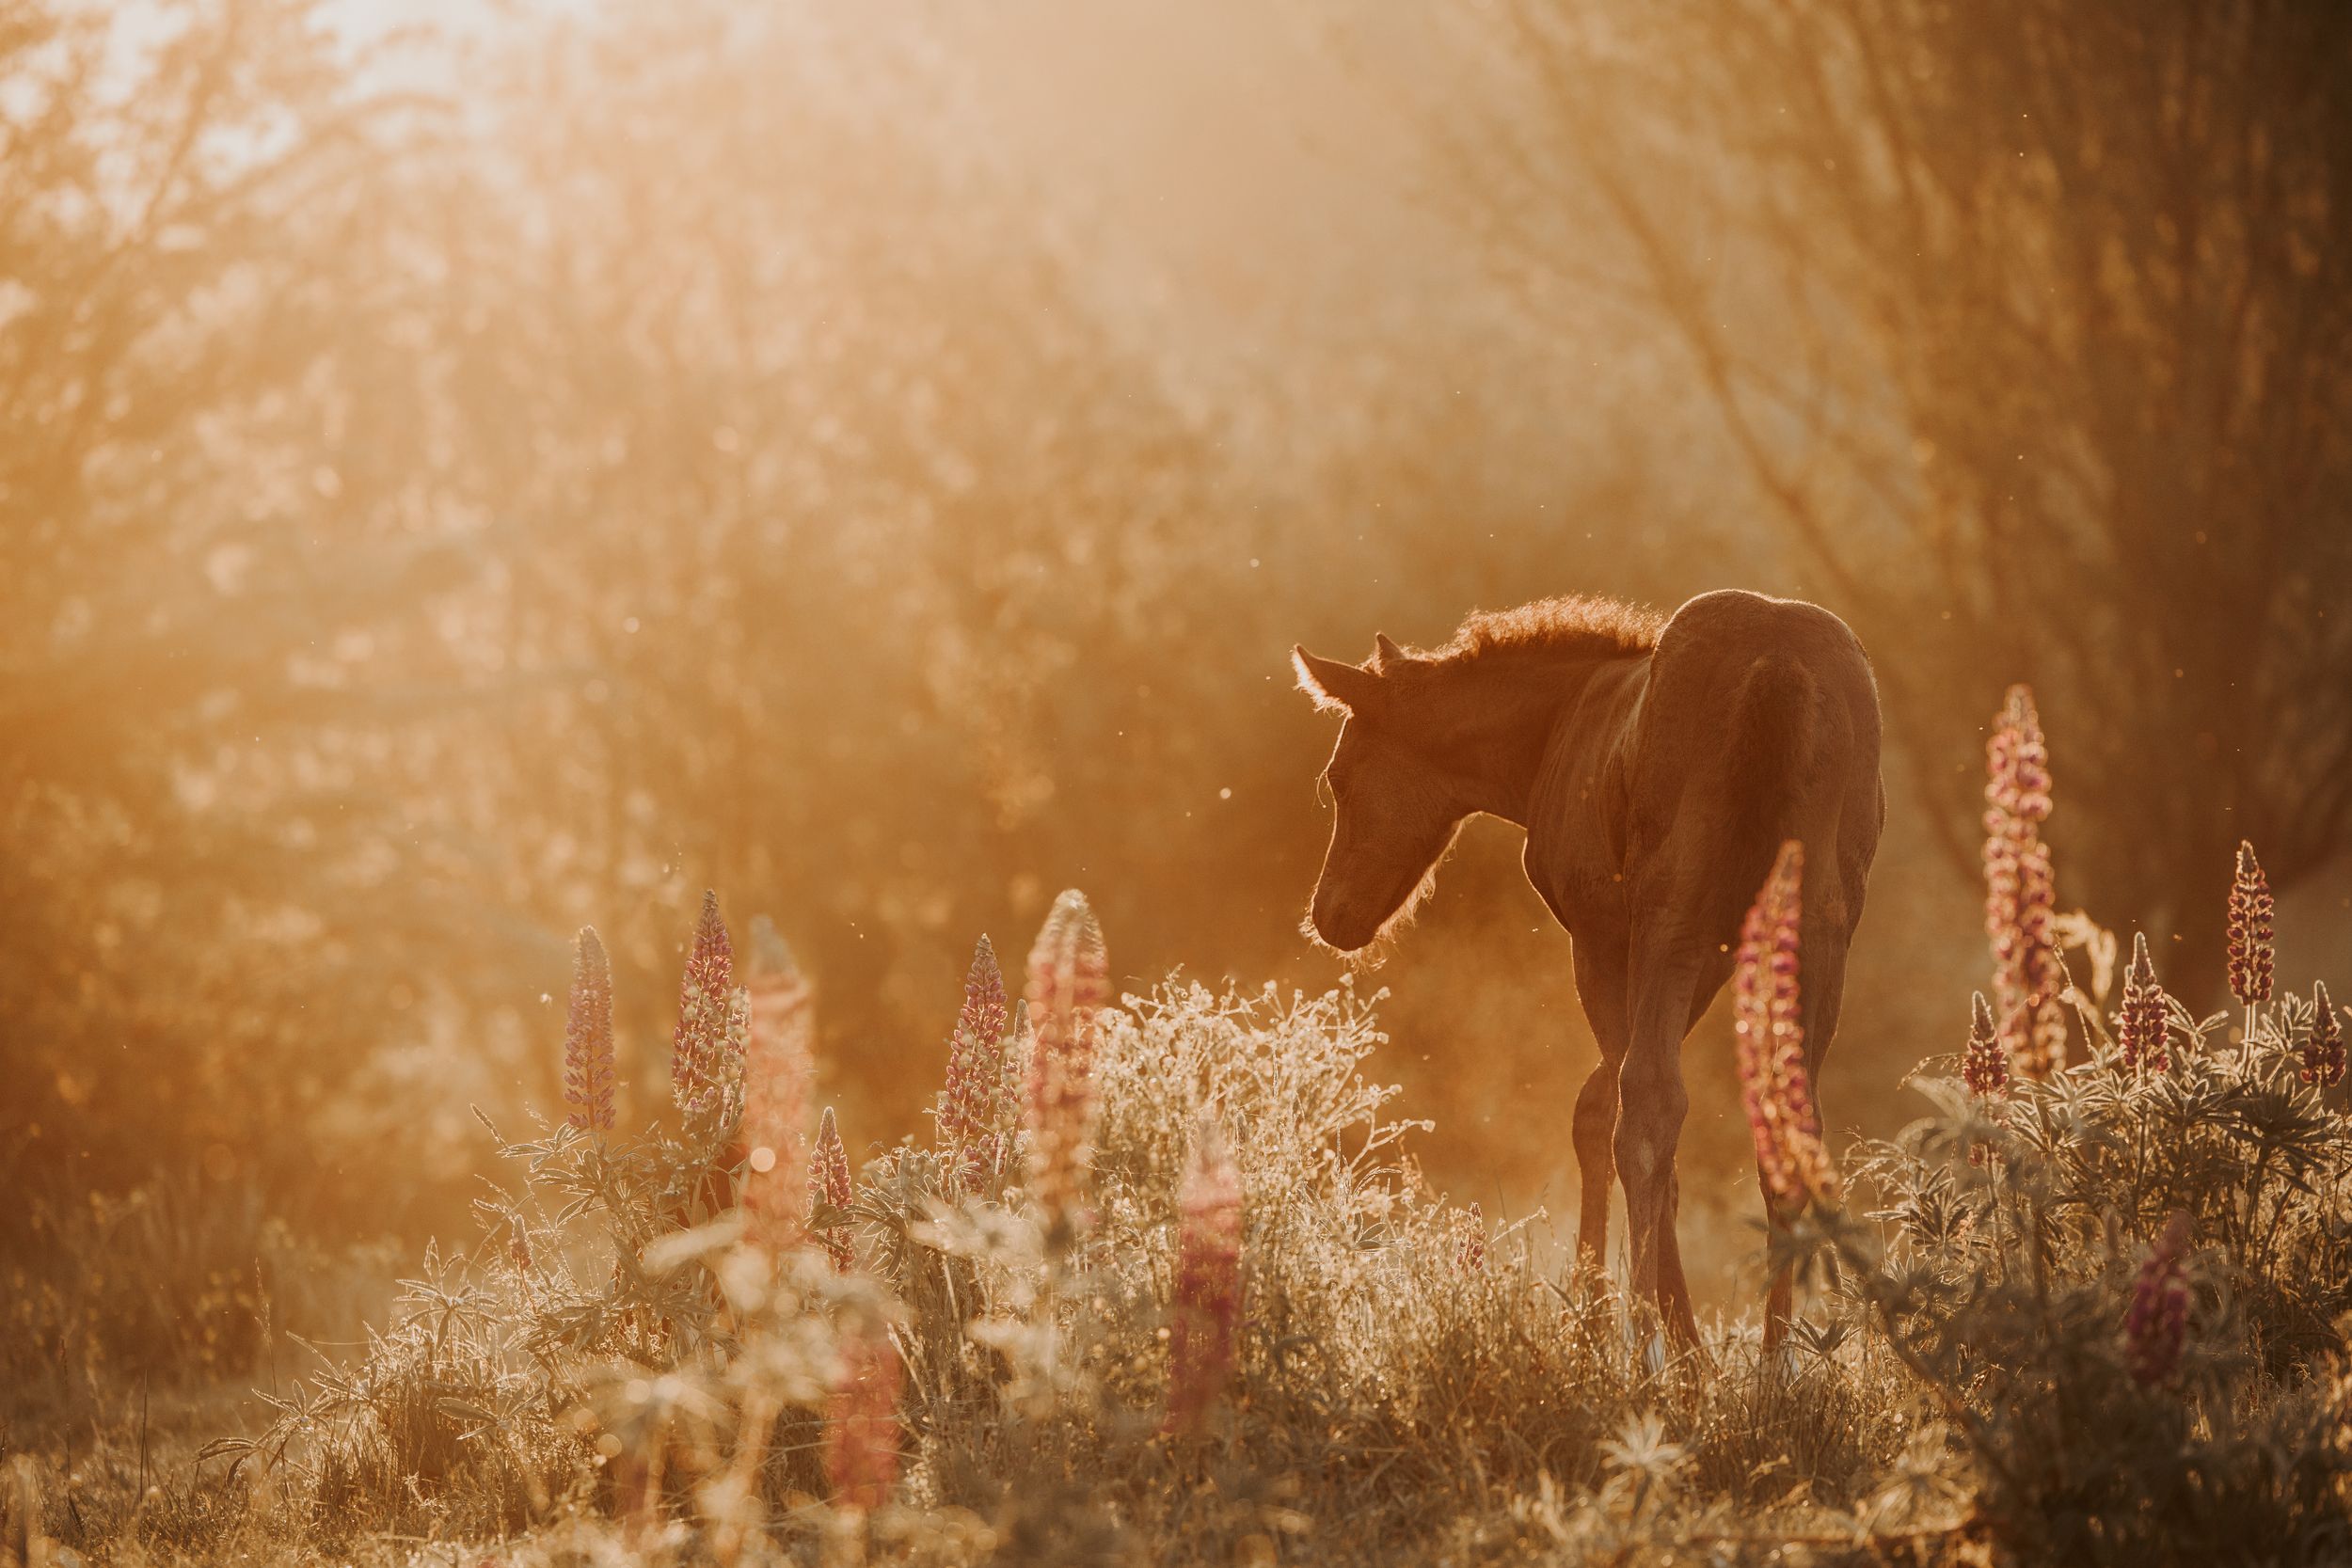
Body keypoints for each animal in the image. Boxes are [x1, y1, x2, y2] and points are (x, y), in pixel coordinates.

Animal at [1292, 590, 1883, 1350]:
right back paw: (1776, 1363)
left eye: (1338, 778)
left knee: (1652, 1102)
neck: (1558, 725)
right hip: (1815, 938)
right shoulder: (1717, 956)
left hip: (1673, 913)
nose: (1331, 914)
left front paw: (1612, 1323)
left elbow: (1601, 1109)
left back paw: (1649, 1345)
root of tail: (1777, 663)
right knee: (1788, 1121)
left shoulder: (1603, 936)